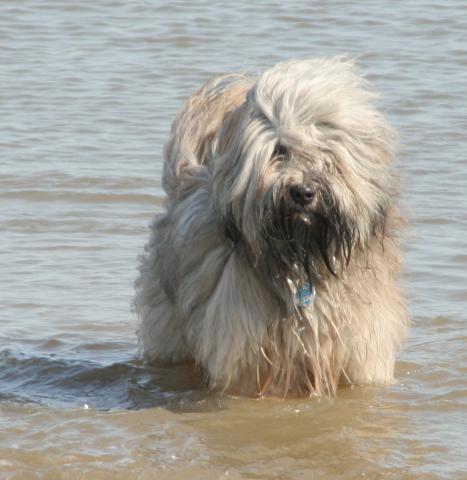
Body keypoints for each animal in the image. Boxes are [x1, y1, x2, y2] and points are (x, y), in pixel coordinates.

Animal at [135, 59, 410, 398]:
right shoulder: (244, 357)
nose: (303, 192)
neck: (303, 259)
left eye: (326, 153)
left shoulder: (361, 354)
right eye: (280, 151)